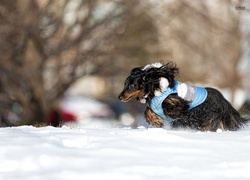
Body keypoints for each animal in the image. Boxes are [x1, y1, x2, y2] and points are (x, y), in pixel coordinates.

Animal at [118, 61, 249, 131]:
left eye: (132, 85)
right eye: (125, 84)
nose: (119, 97)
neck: (154, 87)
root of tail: (223, 101)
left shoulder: (177, 103)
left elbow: (174, 109)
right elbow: (148, 110)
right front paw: (156, 120)